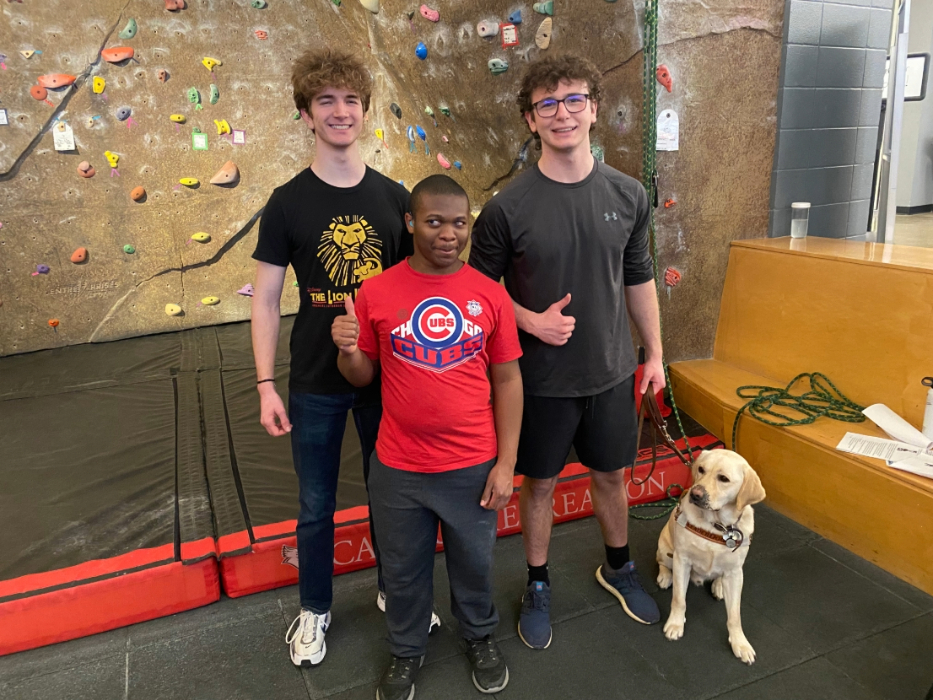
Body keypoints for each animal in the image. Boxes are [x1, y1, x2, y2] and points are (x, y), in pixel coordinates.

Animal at [656, 452, 764, 664]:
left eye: (723, 478)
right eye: (701, 469)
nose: (695, 494)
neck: (717, 526)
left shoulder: (735, 572)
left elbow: (735, 615)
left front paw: (740, 643)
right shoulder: (682, 561)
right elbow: (679, 599)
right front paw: (675, 624)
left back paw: (719, 586)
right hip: (665, 548)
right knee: (662, 563)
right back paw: (665, 576)